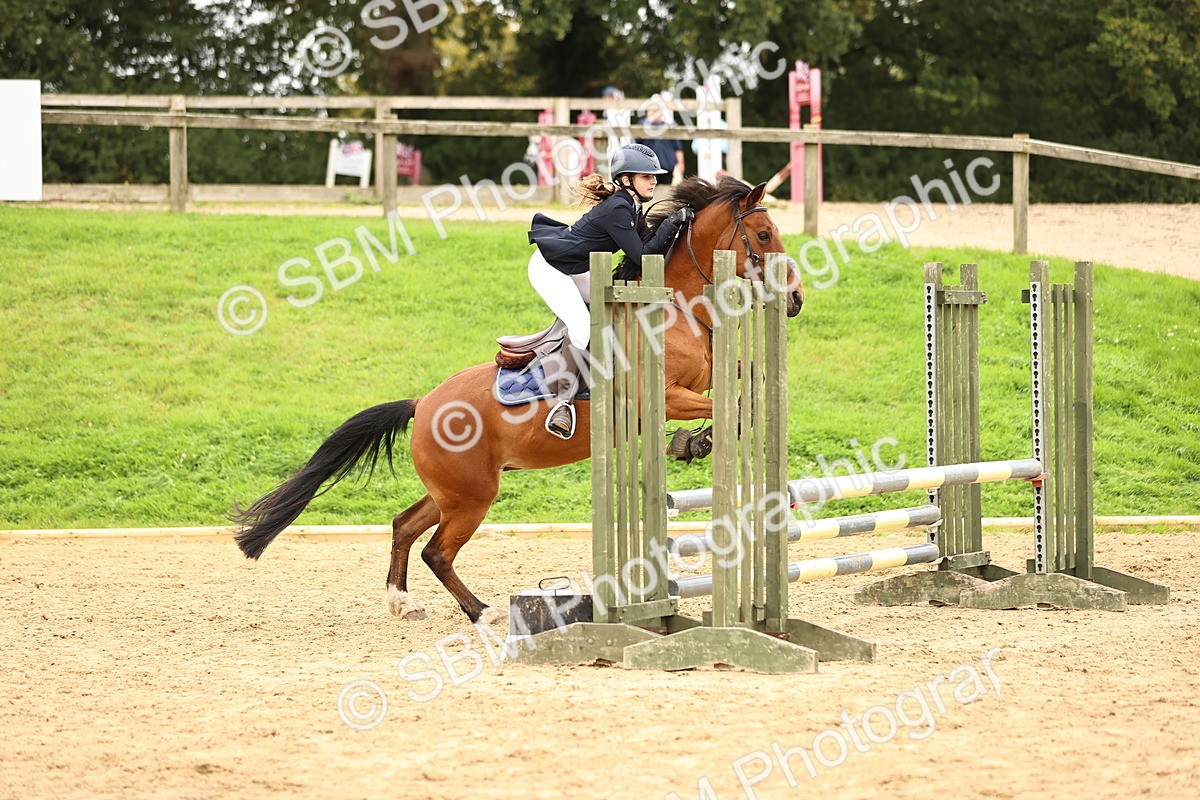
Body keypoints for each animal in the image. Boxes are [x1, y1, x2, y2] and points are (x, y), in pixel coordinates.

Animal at [231, 177, 804, 625]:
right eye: (763, 234)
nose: (796, 299)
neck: (674, 306)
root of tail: (421, 403)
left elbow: (745, 383)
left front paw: (698, 442)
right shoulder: (661, 396)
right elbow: (726, 408)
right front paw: (695, 440)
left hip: (454, 489)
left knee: (404, 526)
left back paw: (401, 603)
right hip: (472, 496)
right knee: (437, 551)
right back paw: (481, 611)